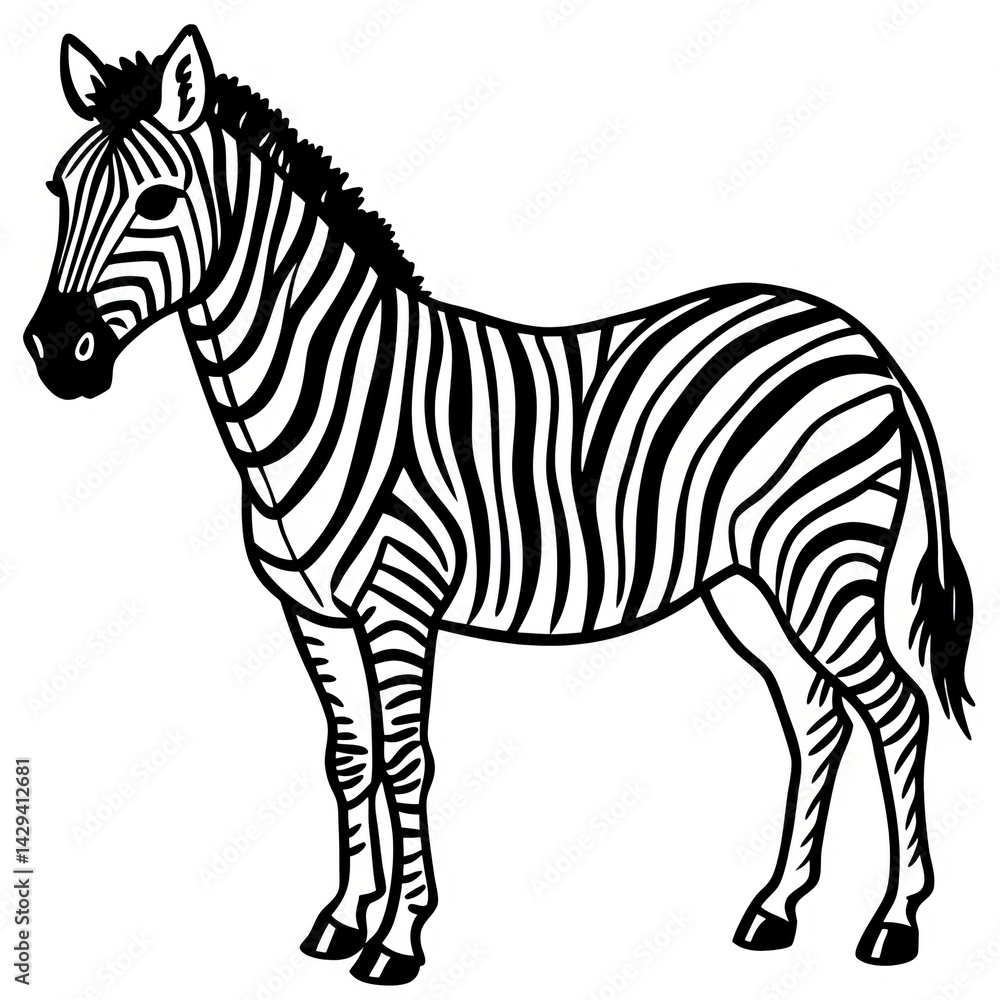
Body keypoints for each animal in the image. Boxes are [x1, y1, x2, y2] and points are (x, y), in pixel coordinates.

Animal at [24, 25, 973, 986]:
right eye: (59, 190)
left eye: (157, 200)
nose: (55, 353)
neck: (327, 384)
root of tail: (861, 339)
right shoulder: (313, 612)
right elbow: (349, 759)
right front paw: (343, 919)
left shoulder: (400, 601)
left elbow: (407, 762)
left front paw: (397, 939)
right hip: (747, 580)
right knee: (816, 715)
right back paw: (776, 909)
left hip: (822, 555)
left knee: (894, 708)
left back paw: (895, 922)